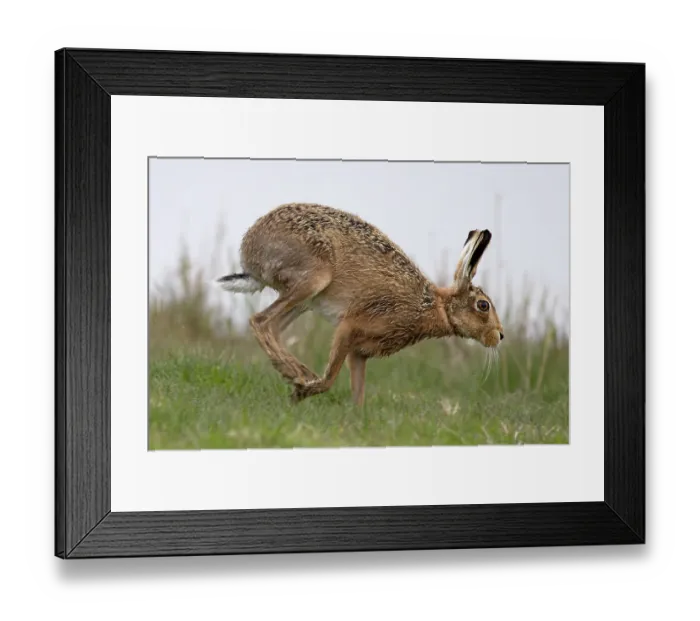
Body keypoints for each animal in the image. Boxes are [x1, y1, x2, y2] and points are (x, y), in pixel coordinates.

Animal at [216, 202, 504, 406]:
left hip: (306, 299)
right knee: (261, 321)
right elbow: (330, 378)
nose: (500, 336)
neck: (436, 306)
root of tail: (250, 250)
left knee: (273, 326)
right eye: (483, 306)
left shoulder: (360, 352)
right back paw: (297, 375)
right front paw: (300, 394)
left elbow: (358, 391)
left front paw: (355, 418)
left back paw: (298, 371)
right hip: (313, 278)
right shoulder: (350, 328)